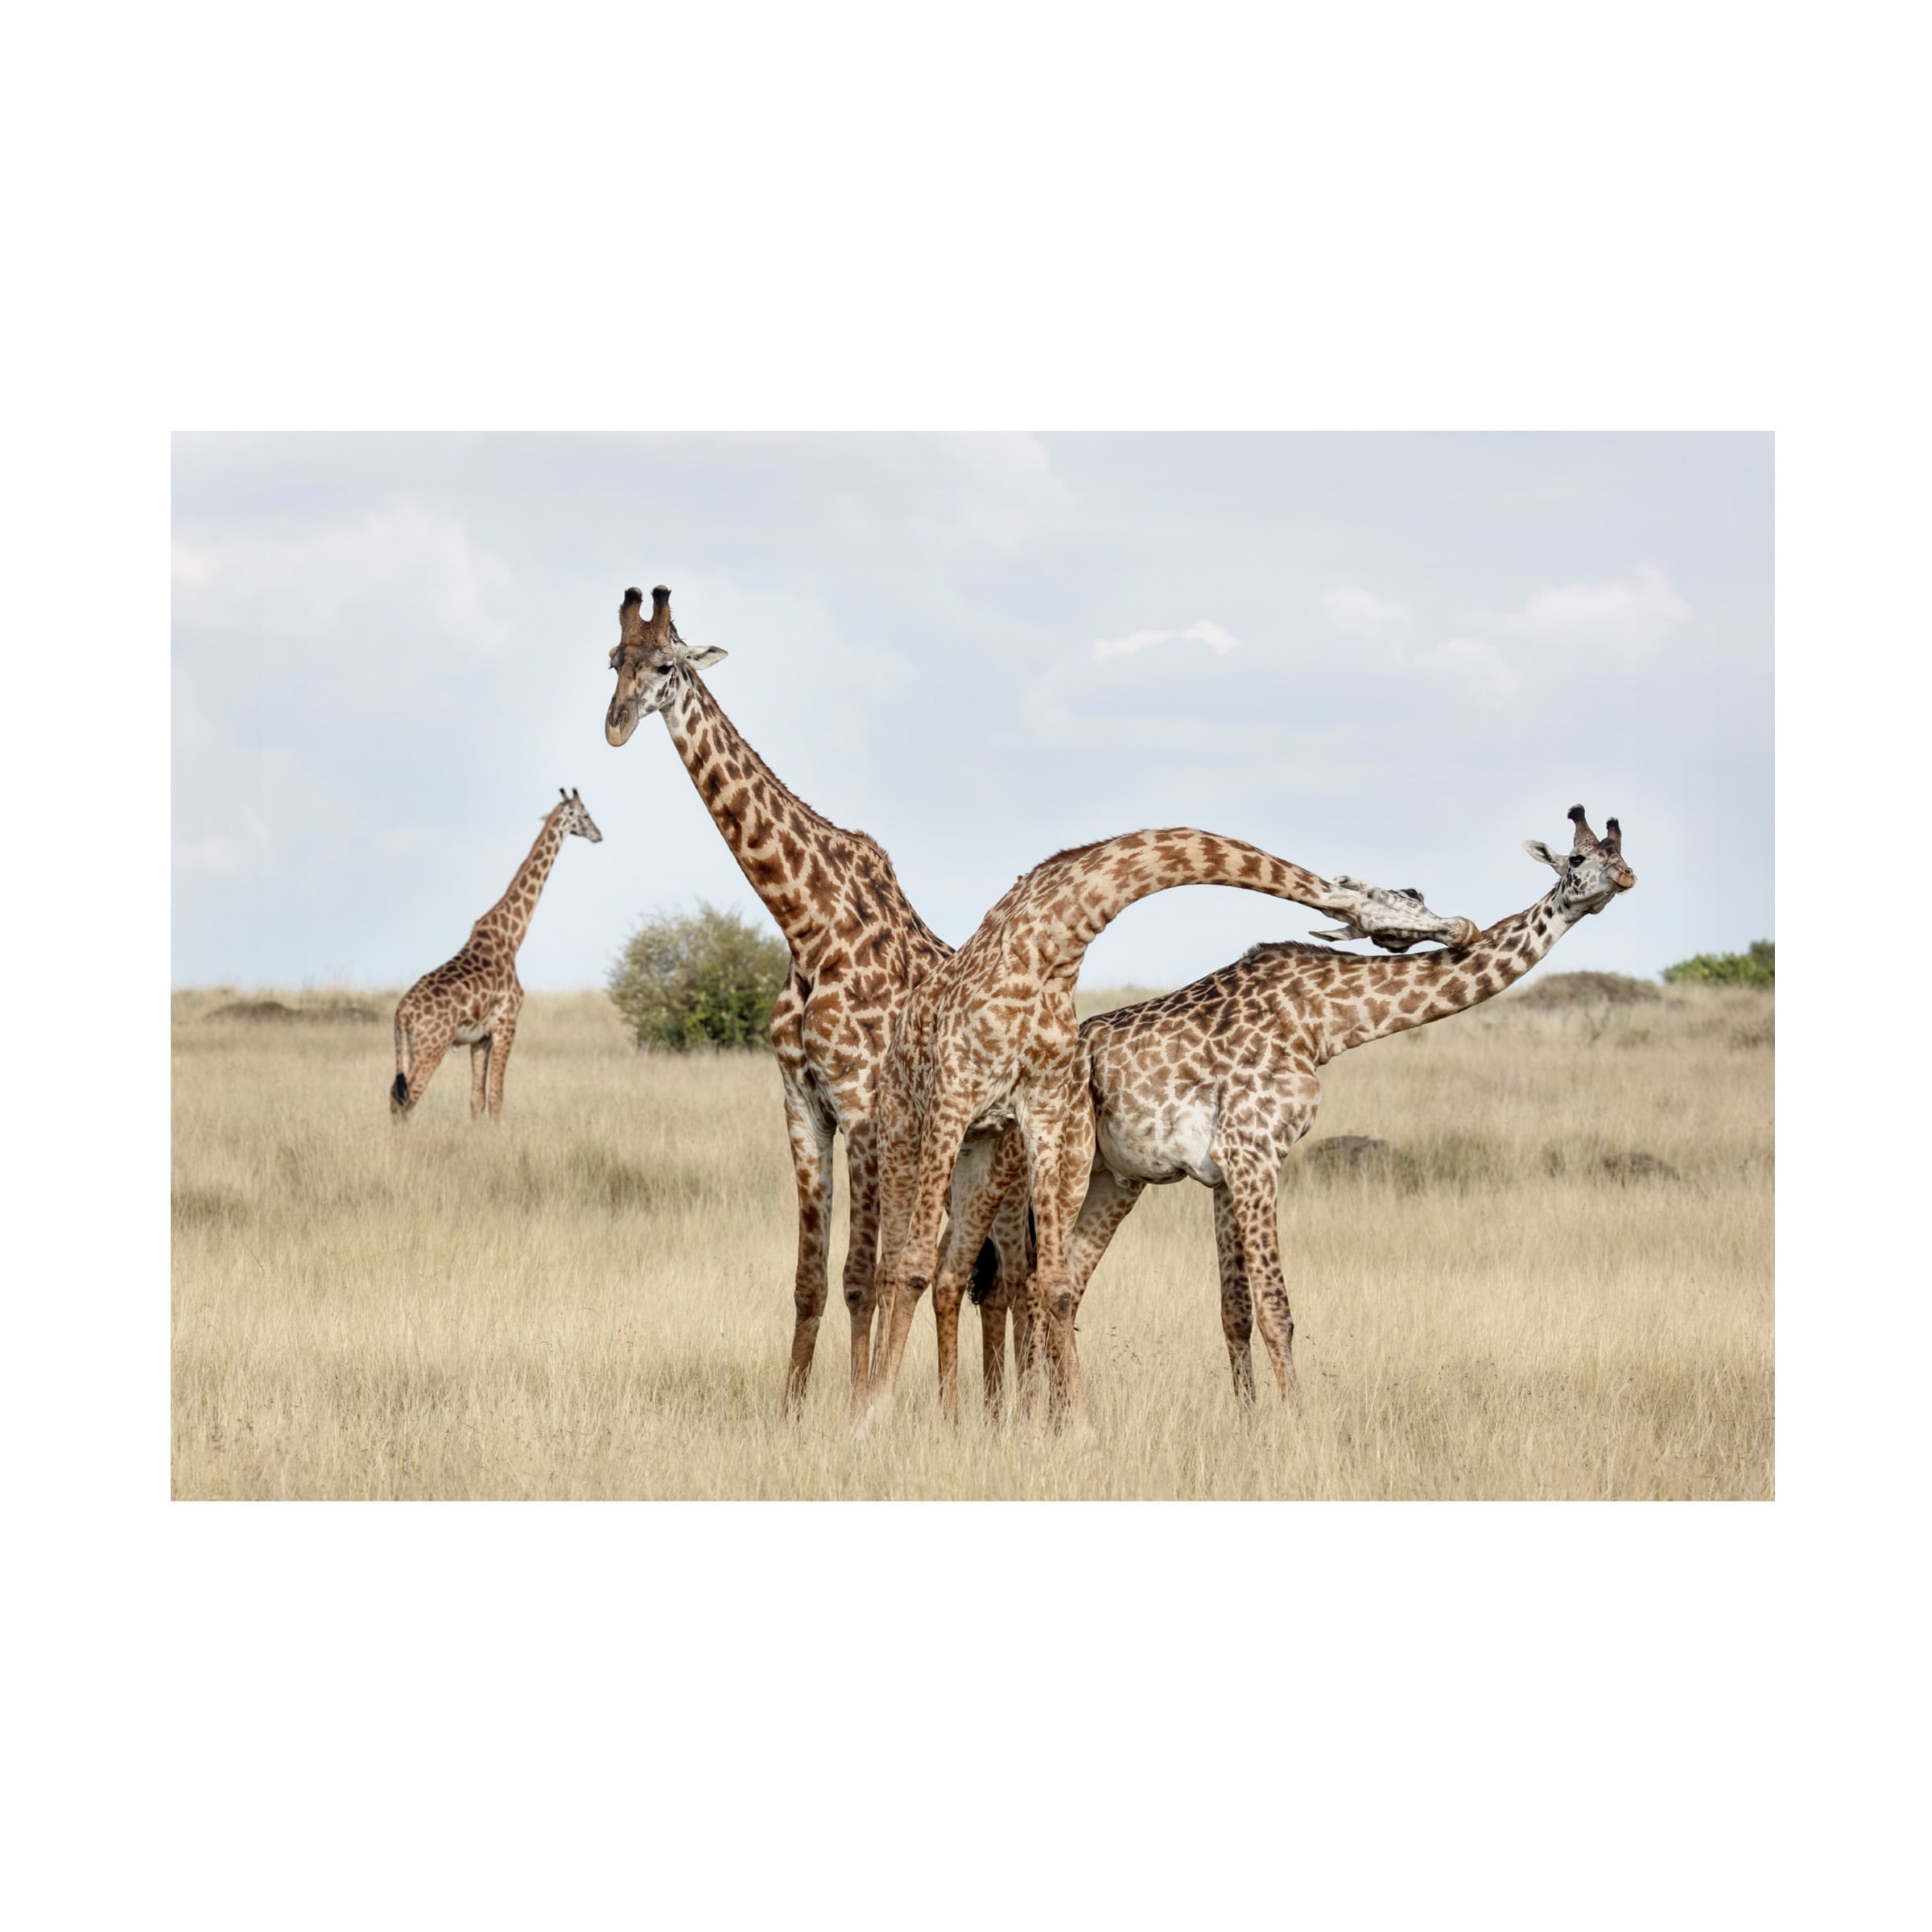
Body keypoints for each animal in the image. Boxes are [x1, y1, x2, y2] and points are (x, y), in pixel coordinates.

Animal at [390, 789, 603, 1119]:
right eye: (586, 814)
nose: (599, 835)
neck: (511, 936)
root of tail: (402, 1013)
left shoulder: (481, 1038)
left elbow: (477, 1099)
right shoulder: (507, 1024)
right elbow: (496, 1097)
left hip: (408, 1047)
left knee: (394, 1098)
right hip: (432, 1046)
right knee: (409, 1098)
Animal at [601, 586, 1029, 1416]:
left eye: (667, 665)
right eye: (614, 660)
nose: (615, 724)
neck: (807, 925)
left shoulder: (861, 1106)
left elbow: (861, 1275)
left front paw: (861, 1407)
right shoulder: (802, 1103)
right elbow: (809, 1280)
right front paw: (793, 1409)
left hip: (1012, 1160)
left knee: (1010, 1279)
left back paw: (1012, 1411)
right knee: (975, 1278)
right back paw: (979, 1409)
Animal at [864, 827, 1480, 1427]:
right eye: (1403, 901)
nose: (1462, 926)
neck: (1048, 948)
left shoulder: (1046, 1111)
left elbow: (1063, 1286)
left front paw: (1077, 1429)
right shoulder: (955, 1096)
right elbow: (915, 1269)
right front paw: (875, 1420)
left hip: (997, 1157)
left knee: (958, 1271)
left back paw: (953, 1417)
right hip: (908, 1131)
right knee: (897, 1267)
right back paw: (872, 1408)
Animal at [949, 805, 1637, 1406]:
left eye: (1622, 851)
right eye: (1577, 858)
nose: (1624, 880)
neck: (1321, 1020)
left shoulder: (1223, 1172)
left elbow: (1235, 1313)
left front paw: (1250, 1423)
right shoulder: (1255, 1153)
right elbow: (1278, 1311)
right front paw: (1299, 1428)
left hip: (1114, 1180)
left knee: (1058, 1284)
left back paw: (1049, 1413)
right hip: (1027, 1175)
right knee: (1018, 1284)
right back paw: (1030, 1414)